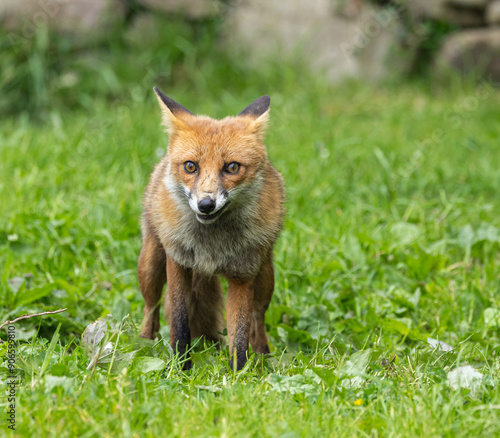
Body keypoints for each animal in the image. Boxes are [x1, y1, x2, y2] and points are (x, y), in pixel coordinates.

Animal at [138, 88, 286, 370]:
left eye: (232, 167)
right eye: (190, 166)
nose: (206, 204)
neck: (211, 245)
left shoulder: (243, 276)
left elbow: (239, 336)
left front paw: (239, 374)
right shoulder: (178, 263)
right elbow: (180, 324)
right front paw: (180, 368)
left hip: (265, 278)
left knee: (257, 319)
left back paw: (263, 356)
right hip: (150, 266)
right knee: (151, 309)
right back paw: (143, 344)